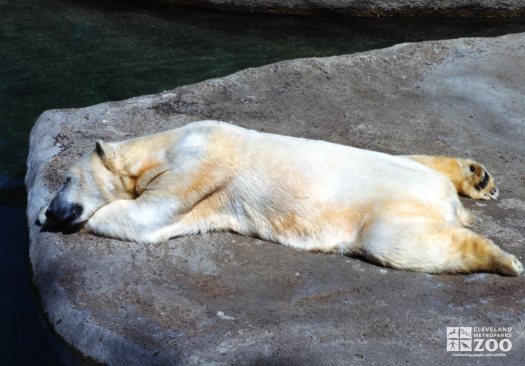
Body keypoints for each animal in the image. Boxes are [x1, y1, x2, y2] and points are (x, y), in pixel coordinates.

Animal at [39, 121, 520, 276]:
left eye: (65, 178)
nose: (49, 212)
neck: (163, 147)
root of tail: (444, 201)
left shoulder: (197, 166)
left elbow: (145, 216)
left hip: (390, 207)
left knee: (396, 241)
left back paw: (504, 259)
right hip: (412, 171)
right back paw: (477, 178)